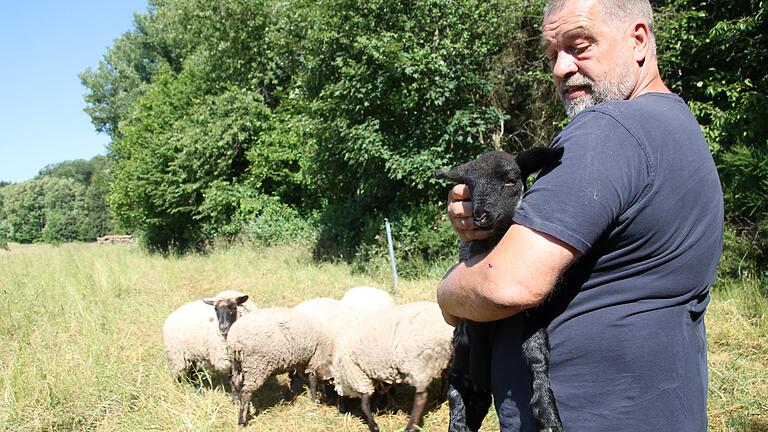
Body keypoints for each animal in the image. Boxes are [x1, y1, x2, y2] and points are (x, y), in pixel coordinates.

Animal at [332, 300, 452, 432]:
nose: (341, 410)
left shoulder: (358, 375)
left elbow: (364, 403)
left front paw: (373, 425)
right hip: (444, 360)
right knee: (446, 378)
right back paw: (441, 398)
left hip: (417, 363)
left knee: (421, 397)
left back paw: (410, 426)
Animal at [436, 147, 568, 430]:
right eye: (469, 186)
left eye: (510, 180)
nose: (480, 216)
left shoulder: (533, 309)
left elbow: (535, 352)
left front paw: (547, 412)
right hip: (458, 362)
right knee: (457, 399)